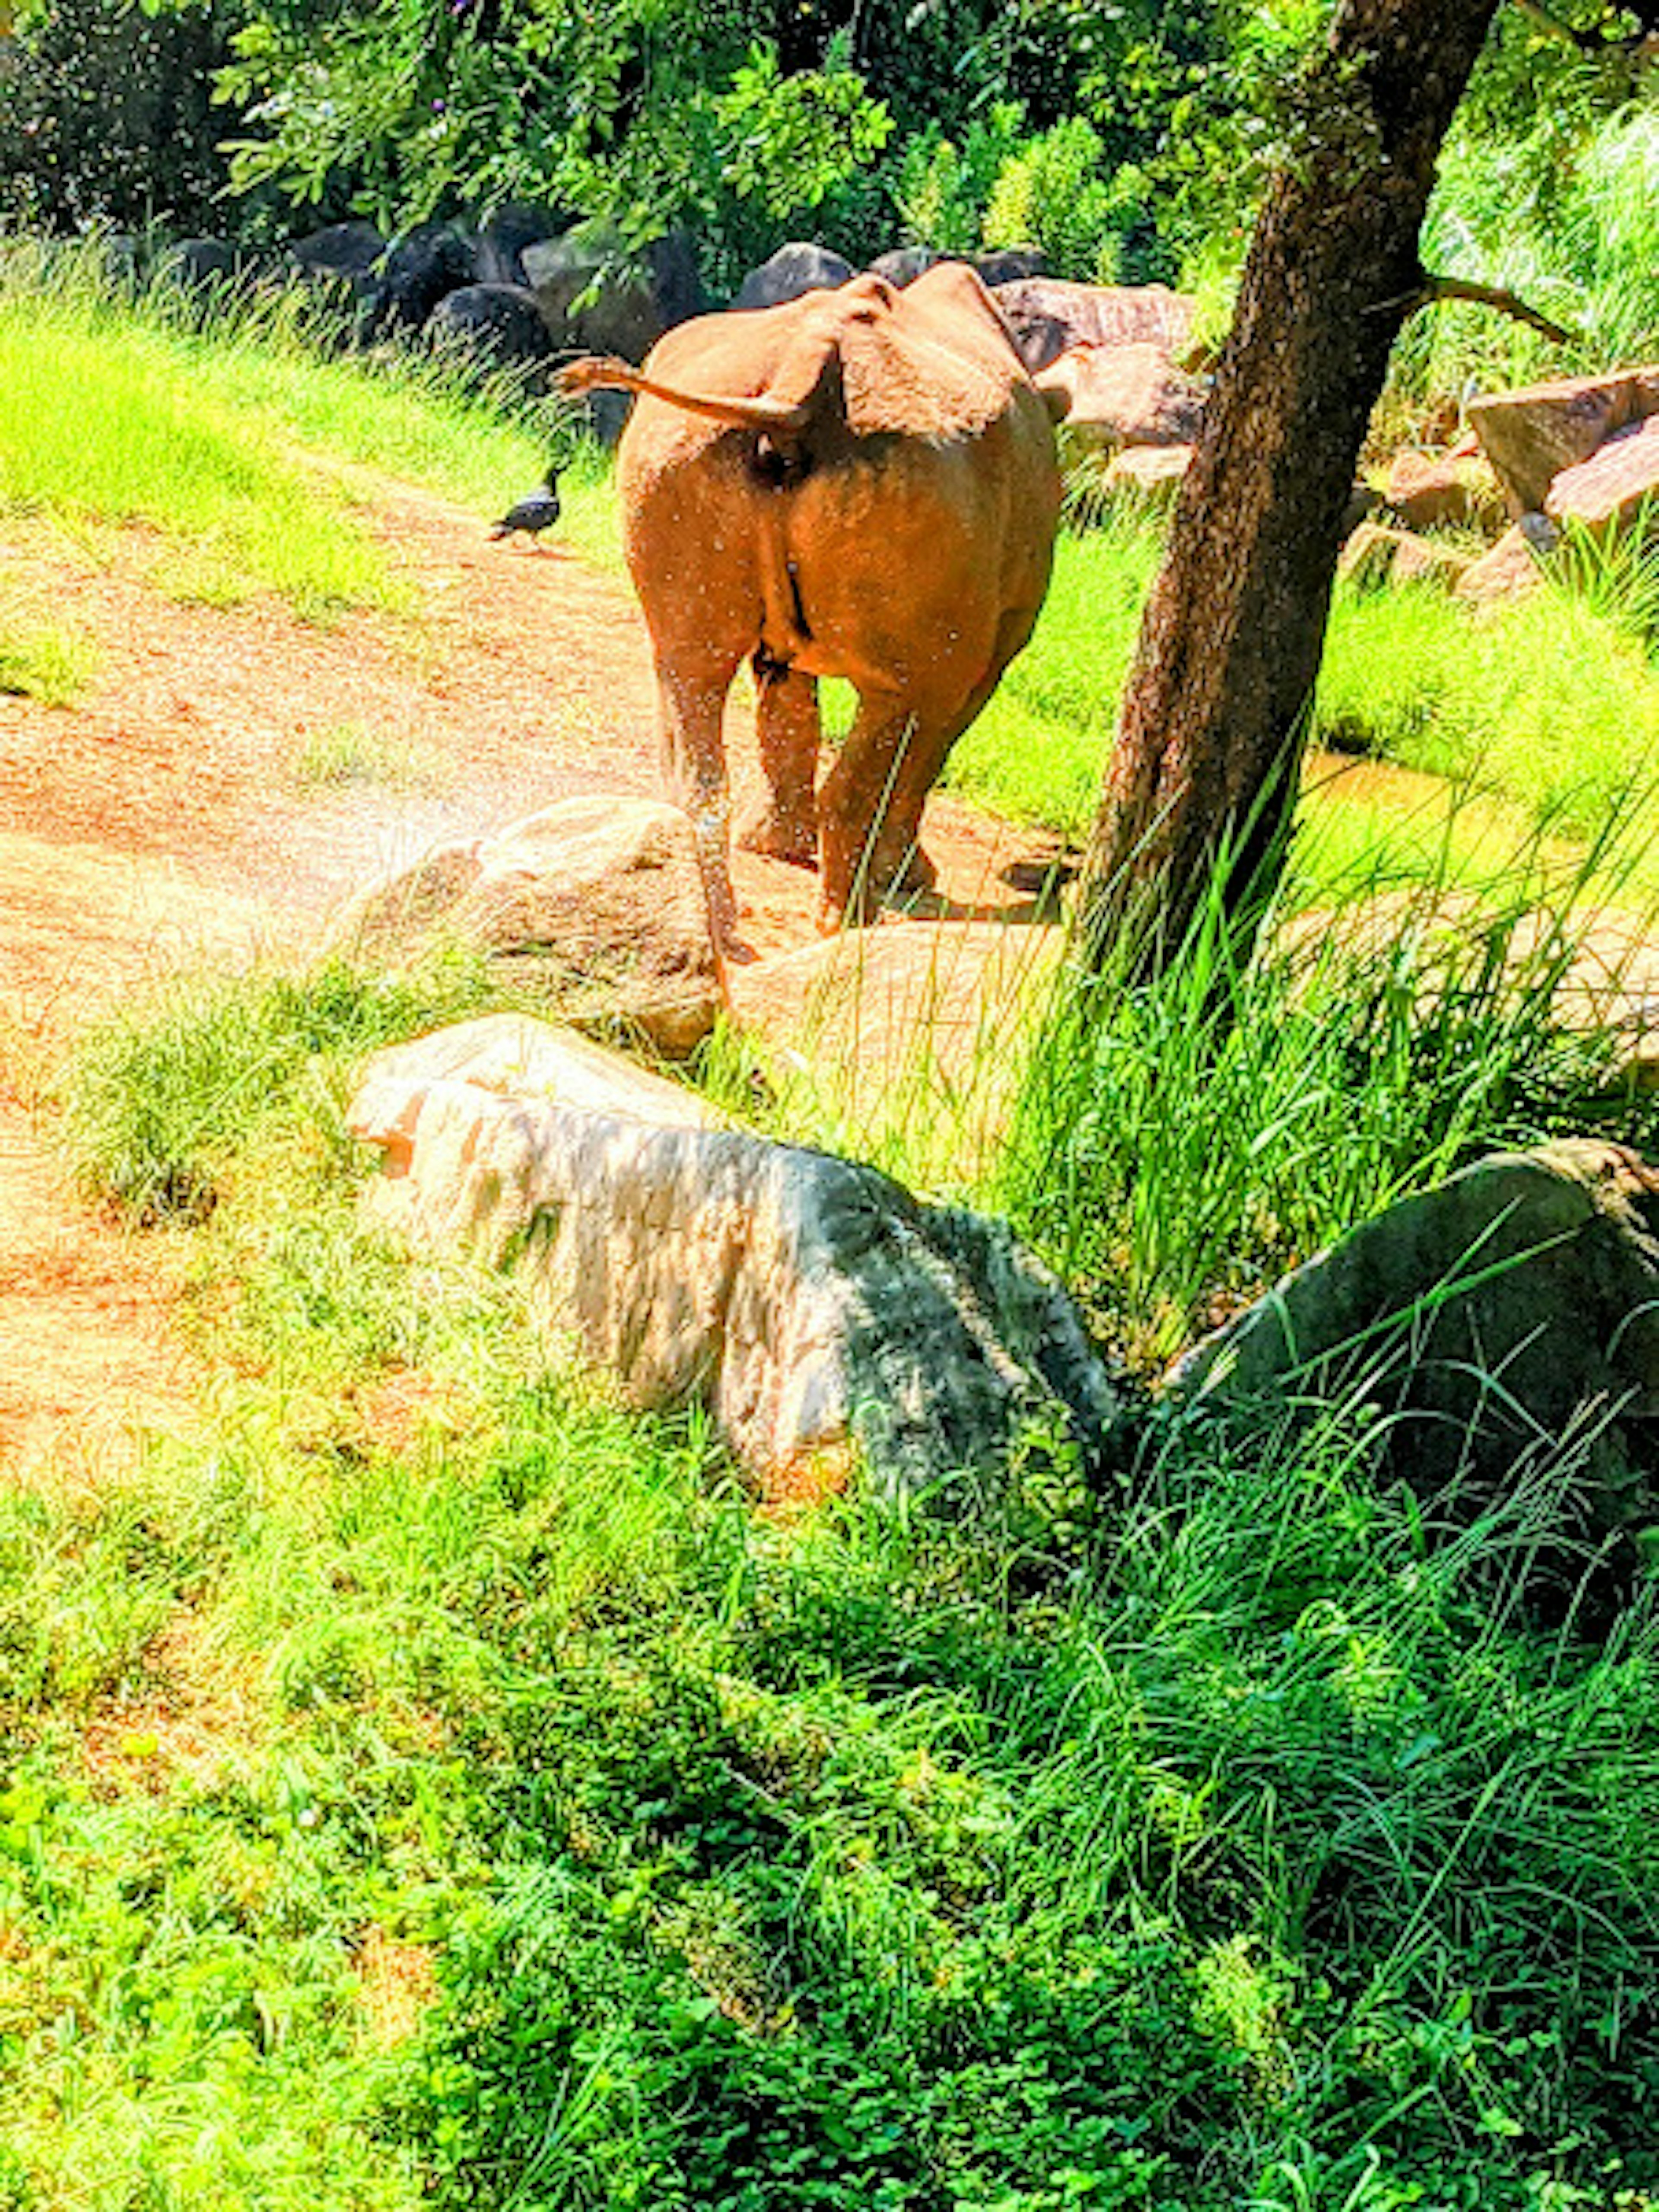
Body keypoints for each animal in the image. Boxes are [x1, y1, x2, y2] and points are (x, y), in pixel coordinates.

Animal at [562, 263, 1066, 947]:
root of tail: (804, 378)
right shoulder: (1003, 637)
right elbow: (932, 743)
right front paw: (908, 877)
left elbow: (787, 706)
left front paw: (778, 847)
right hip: (930, 481)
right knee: (905, 698)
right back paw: (849, 926)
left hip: (677, 442)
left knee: (689, 667)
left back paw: (719, 921)